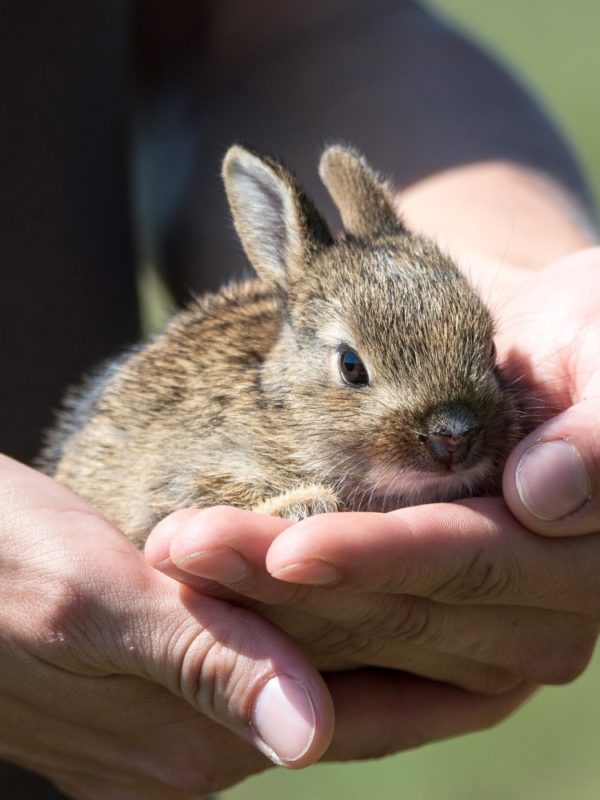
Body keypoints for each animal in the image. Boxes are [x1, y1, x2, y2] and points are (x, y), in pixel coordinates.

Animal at [41, 145, 520, 544]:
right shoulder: (177, 480)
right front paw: (305, 504)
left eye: (491, 348)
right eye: (351, 366)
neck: (286, 414)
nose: (454, 435)